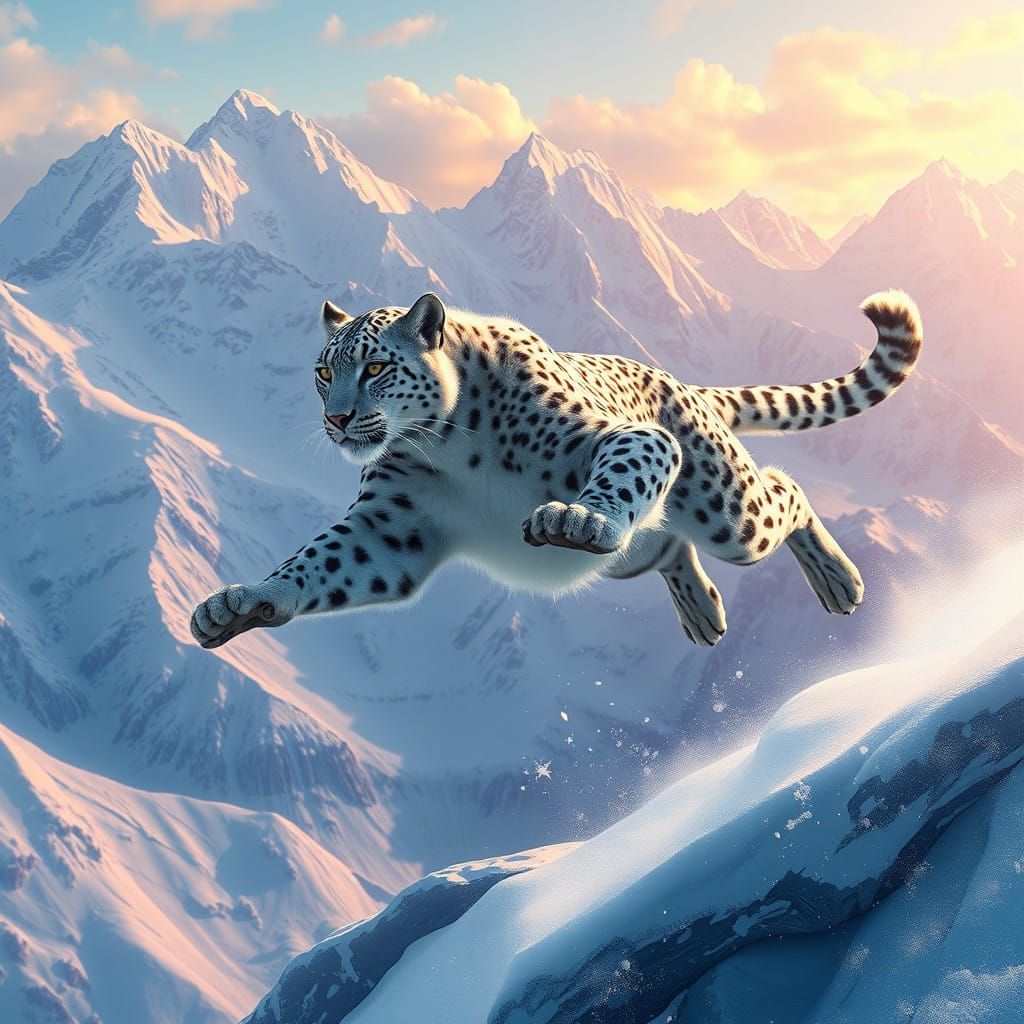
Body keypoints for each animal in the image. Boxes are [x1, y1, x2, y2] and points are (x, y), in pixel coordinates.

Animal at [190, 289, 922, 650]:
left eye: (374, 367)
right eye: (322, 372)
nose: (338, 419)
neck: (441, 441)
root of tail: (680, 382)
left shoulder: (626, 438)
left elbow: (619, 475)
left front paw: (577, 517)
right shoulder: (389, 526)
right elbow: (317, 561)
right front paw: (241, 602)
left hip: (726, 511)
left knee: (783, 492)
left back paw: (838, 581)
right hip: (639, 555)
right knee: (665, 547)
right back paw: (704, 613)